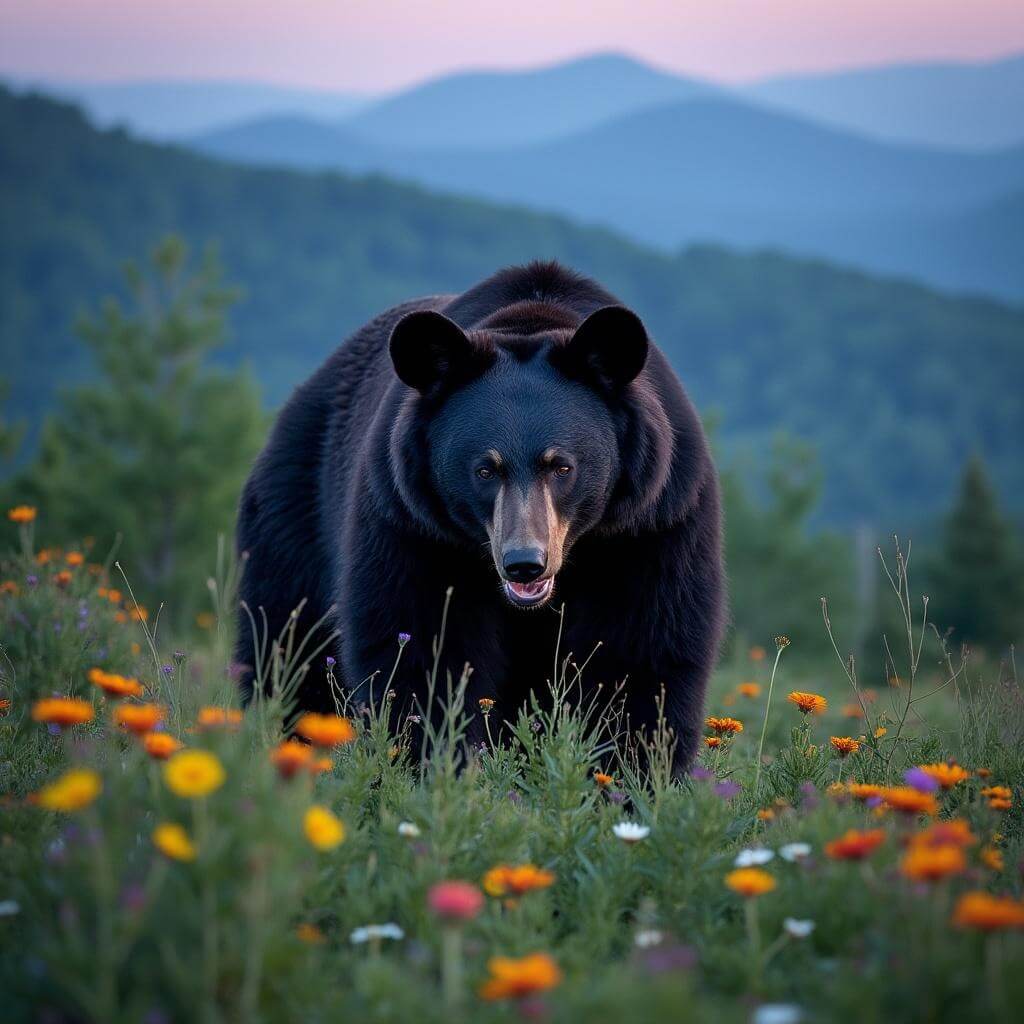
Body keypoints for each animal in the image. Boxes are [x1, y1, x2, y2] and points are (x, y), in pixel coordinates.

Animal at [235, 261, 725, 774]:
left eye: (562, 466)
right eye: (485, 469)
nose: (525, 563)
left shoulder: (652, 523)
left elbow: (643, 650)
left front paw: (631, 774)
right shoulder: (413, 526)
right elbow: (422, 647)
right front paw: (433, 762)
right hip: (296, 511)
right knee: (287, 644)